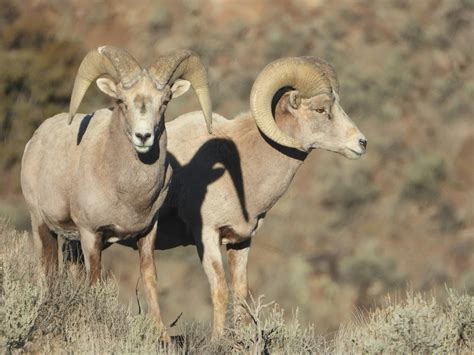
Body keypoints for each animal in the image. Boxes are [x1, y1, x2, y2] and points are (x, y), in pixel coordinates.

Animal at [20, 46, 212, 336]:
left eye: (164, 101)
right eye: (121, 100)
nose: (143, 137)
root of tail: (34, 140)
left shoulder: (147, 232)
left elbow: (149, 279)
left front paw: (162, 336)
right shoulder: (91, 234)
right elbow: (95, 281)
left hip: (72, 243)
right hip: (41, 224)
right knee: (48, 269)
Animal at [157, 57, 368, 338]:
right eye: (321, 110)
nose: (362, 143)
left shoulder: (240, 242)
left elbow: (240, 294)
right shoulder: (207, 236)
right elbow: (220, 291)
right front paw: (217, 341)